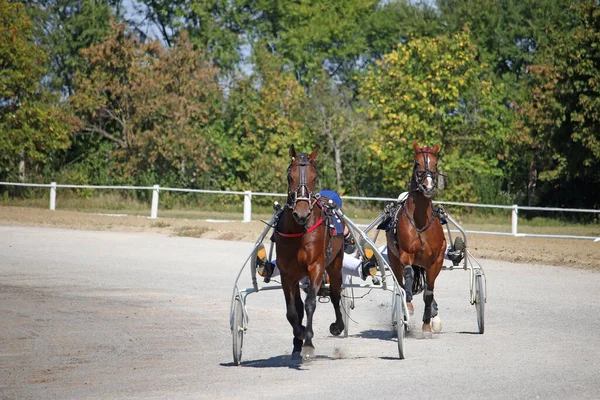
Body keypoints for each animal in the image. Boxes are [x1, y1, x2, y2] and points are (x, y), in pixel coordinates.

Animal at [274, 145, 344, 360]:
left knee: (336, 294)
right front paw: (300, 333)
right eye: (290, 176)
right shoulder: (287, 273)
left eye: (314, 177)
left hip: (336, 264)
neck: (299, 230)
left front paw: (308, 343)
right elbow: (292, 311)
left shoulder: (317, 267)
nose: (302, 213)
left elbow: (310, 303)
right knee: (297, 305)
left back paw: (338, 325)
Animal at [386, 142, 448, 332]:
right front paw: (409, 307)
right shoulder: (405, 254)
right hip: (394, 259)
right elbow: (408, 275)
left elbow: (429, 292)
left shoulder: (435, 262)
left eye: (435, 164)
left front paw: (427, 324)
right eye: (417, 163)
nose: (428, 187)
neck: (420, 222)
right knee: (401, 282)